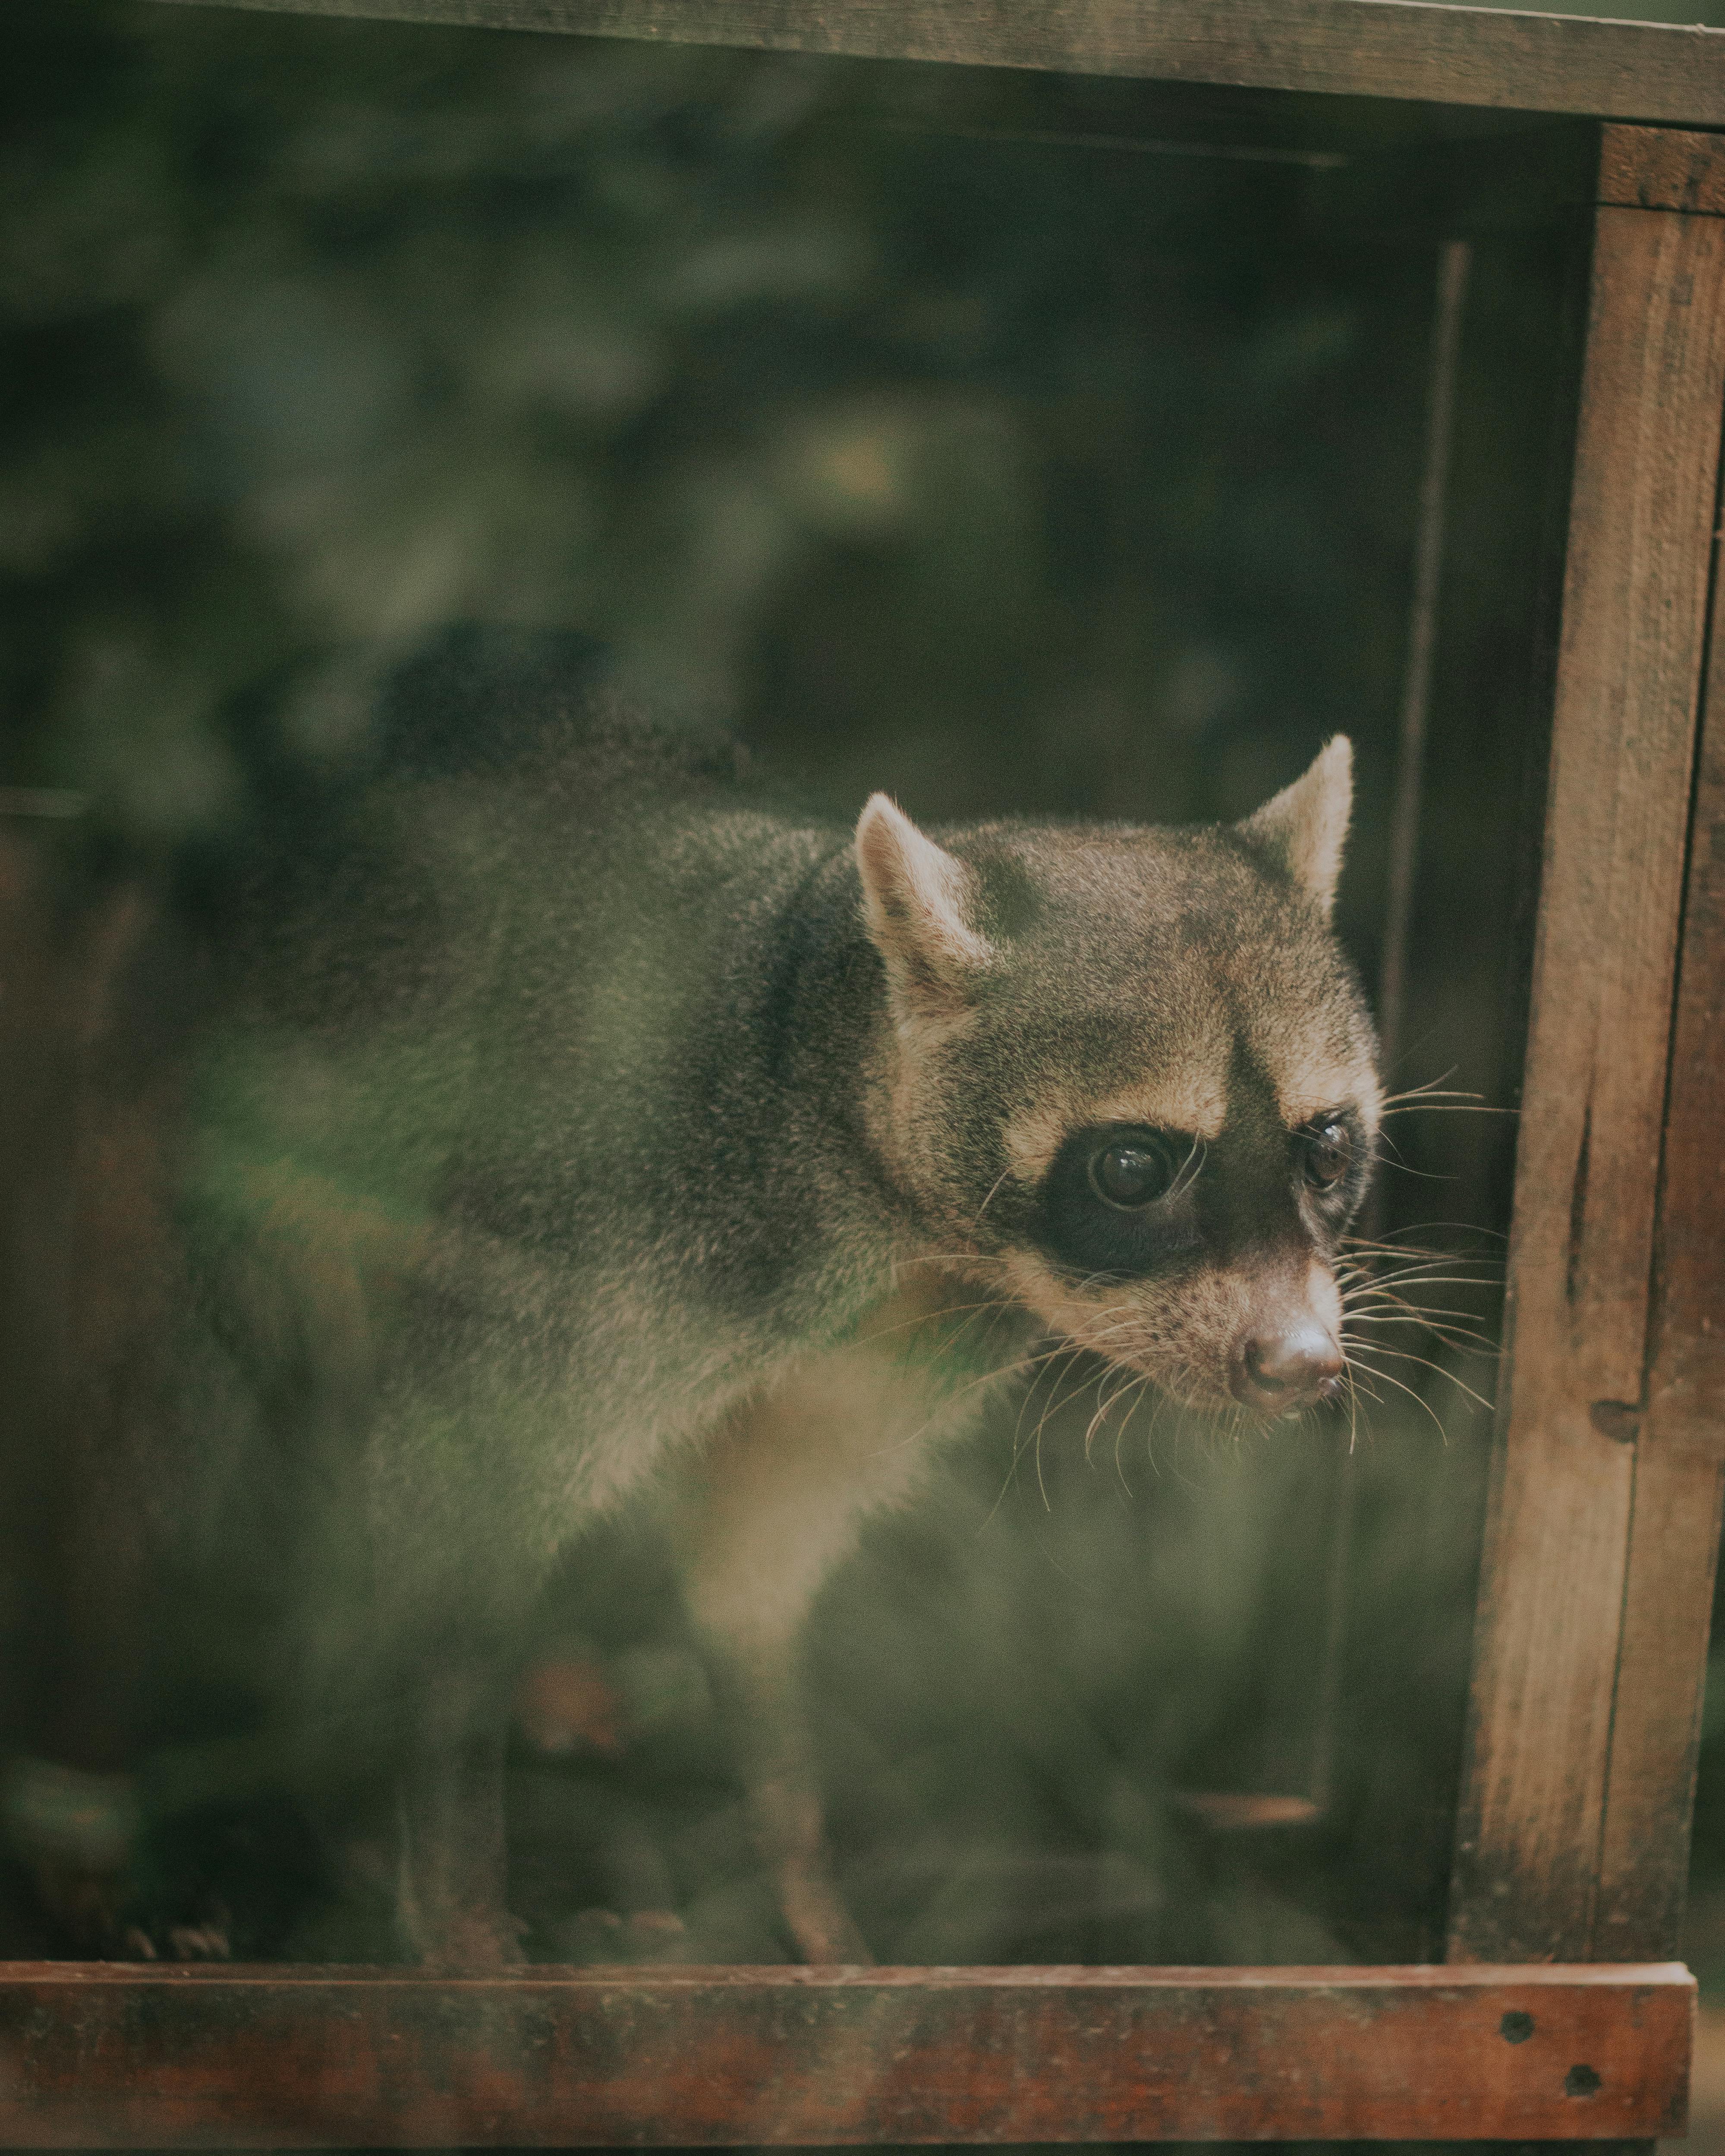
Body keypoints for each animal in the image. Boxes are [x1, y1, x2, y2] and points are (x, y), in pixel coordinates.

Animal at [5, 631, 1378, 1965]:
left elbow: (747, 1580)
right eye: (1133, 1167)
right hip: (130, 1066)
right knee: (152, 1448)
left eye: (1324, 1149)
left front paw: (800, 1881)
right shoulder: (605, 1230)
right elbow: (443, 1524)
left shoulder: (883, 1354)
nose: (1300, 1363)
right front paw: (456, 1917)